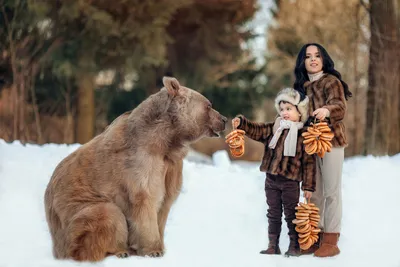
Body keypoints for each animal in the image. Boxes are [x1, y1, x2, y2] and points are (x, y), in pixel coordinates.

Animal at [44, 76, 227, 262]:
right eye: (209, 105)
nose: (224, 119)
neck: (166, 141)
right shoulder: (140, 163)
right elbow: (145, 200)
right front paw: (153, 250)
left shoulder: (170, 167)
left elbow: (165, 204)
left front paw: (160, 246)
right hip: (76, 207)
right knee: (108, 214)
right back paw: (118, 251)